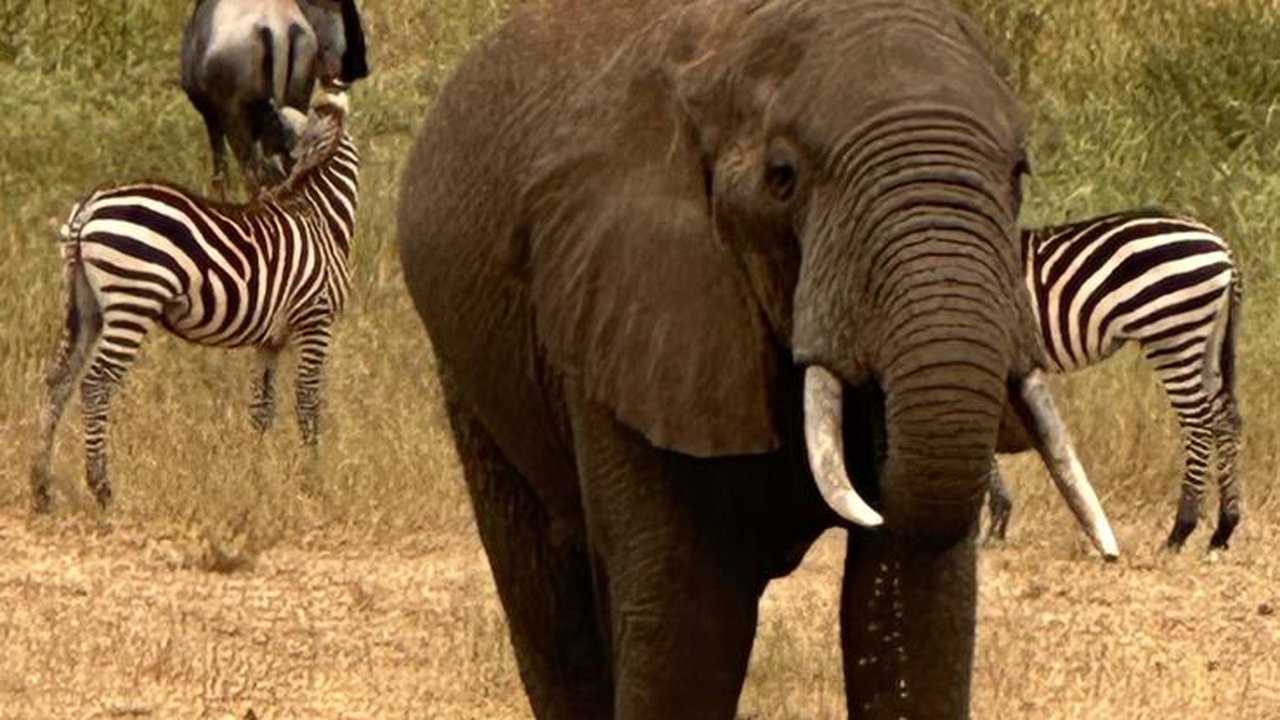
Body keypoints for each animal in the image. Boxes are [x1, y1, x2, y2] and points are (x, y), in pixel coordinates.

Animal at [397, 0, 1115, 717]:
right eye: (782, 179)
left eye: (1018, 173)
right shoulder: (631, 304)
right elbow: (688, 619)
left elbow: (917, 612)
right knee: (549, 600)